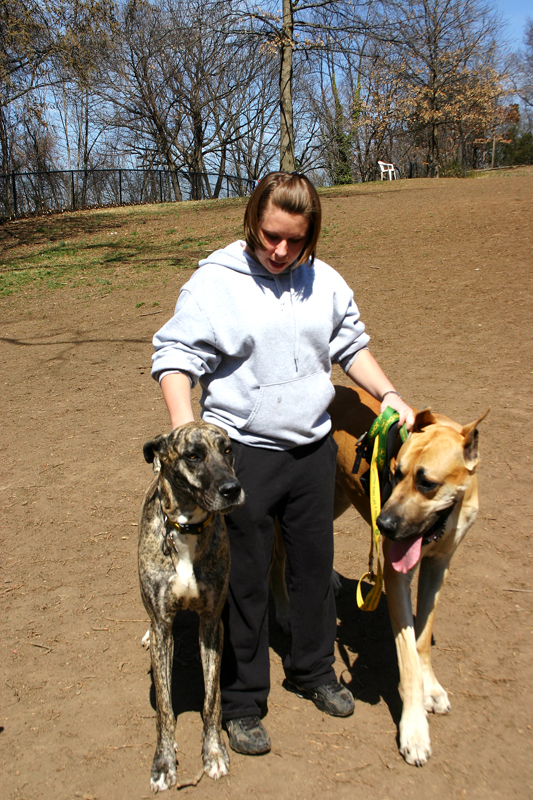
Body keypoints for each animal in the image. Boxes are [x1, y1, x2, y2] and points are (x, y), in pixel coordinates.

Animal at [138, 422, 244, 792]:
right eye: (192, 455)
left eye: (227, 450)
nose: (232, 489)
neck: (186, 528)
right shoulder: (162, 626)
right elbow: (165, 709)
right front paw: (163, 762)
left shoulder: (212, 624)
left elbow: (211, 700)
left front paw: (213, 752)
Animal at [270, 388, 486, 768]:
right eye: (396, 472)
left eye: (427, 482)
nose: (383, 524)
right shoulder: (397, 577)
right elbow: (408, 659)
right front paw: (414, 730)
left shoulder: (438, 567)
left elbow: (422, 640)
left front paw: (432, 688)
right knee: (281, 559)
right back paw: (283, 610)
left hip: (337, 495)